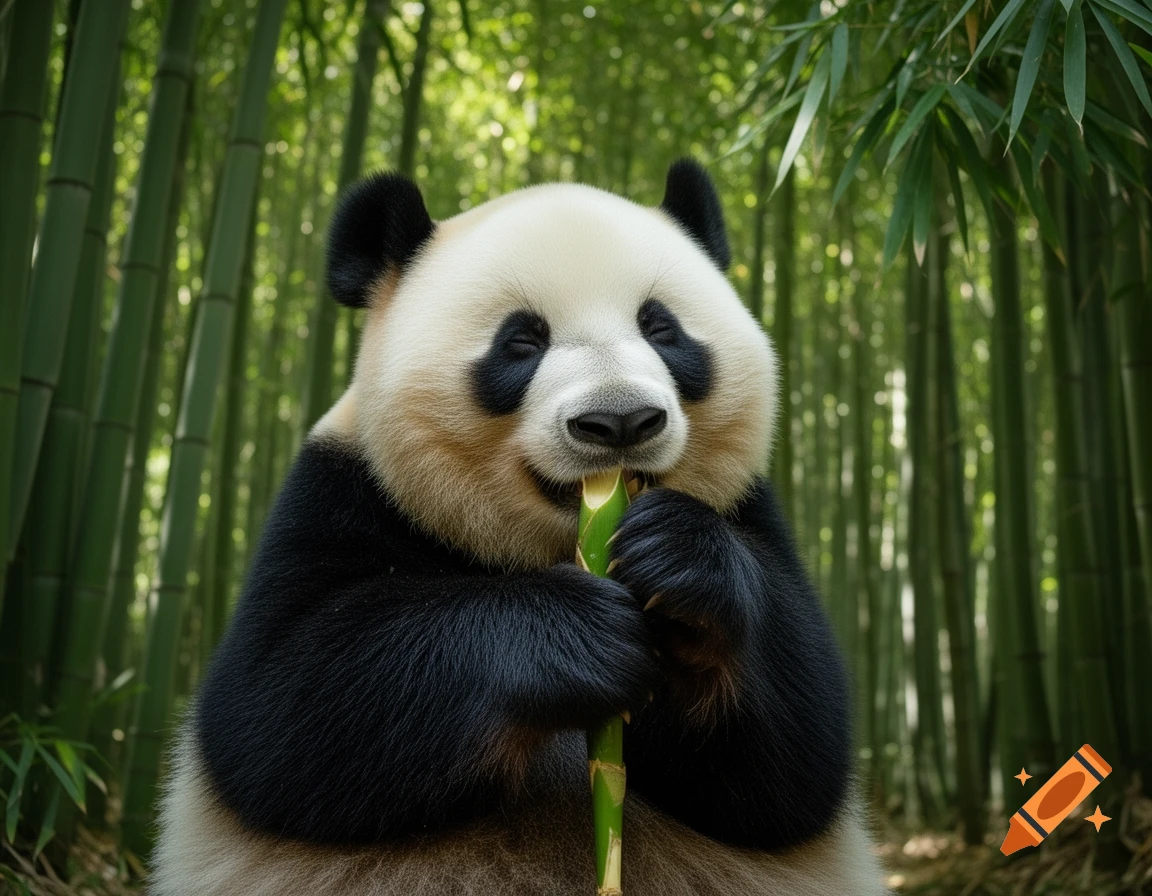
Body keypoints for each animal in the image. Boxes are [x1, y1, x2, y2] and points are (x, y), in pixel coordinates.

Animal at [153, 159, 887, 895]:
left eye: (661, 329)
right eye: (523, 341)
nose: (619, 420)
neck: (545, 547)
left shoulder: (749, 508)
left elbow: (798, 753)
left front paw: (678, 556)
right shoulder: (341, 490)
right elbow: (282, 705)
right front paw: (580, 633)